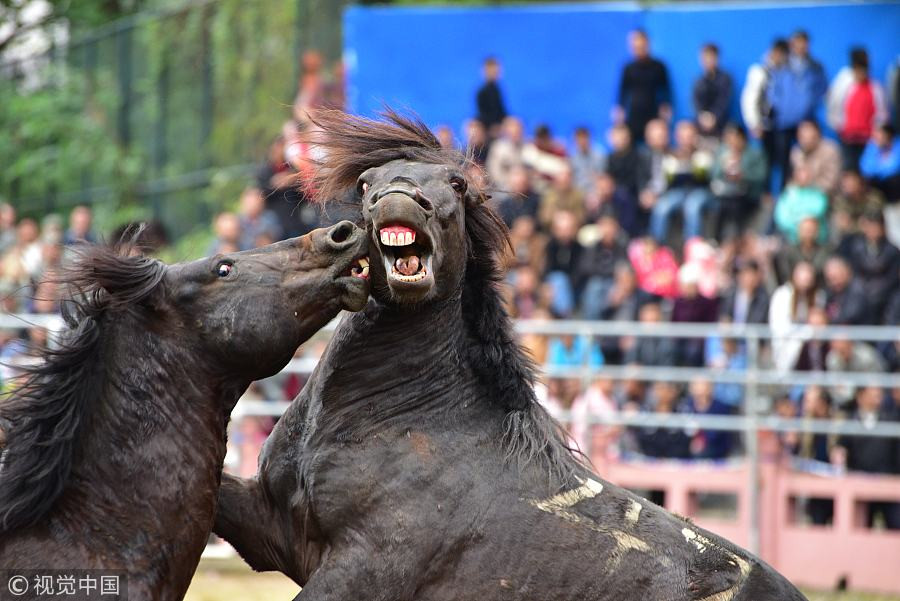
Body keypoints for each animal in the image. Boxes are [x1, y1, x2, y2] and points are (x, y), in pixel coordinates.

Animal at [213, 110, 808, 596]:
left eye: (456, 184)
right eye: (366, 184)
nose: (400, 198)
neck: (404, 418)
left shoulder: (363, 567)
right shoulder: (272, 526)